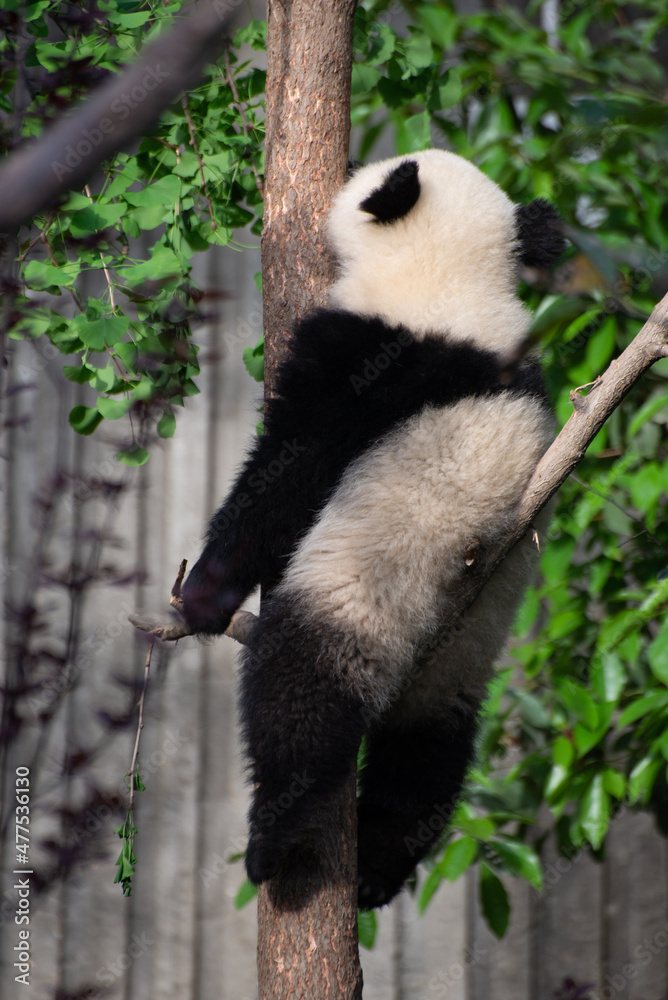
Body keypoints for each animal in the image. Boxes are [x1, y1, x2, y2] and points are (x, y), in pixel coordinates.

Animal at [181, 149, 565, 908]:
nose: (353, 158)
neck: (456, 275)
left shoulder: (372, 353)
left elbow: (290, 469)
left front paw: (205, 594)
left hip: (368, 576)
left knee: (303, 690)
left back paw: (277, 838)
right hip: (463, 647)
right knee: (428, 753)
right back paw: (375, 872)